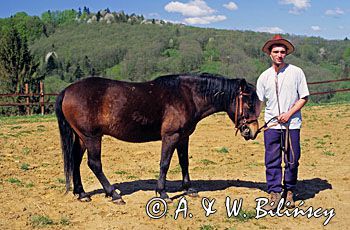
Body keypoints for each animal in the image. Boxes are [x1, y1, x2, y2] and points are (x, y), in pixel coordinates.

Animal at [55, 73, 260, 204]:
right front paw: (162, 192)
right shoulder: (171, 136)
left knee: (75, 161)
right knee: (94, 164)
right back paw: (114, 194)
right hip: (91, 137)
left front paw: (189, 189)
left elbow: (184, 162)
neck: (187, 95)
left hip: (82, 137)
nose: (252, 131)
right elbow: (165, 163)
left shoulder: (183, 137)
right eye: (249, 103)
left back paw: (81, 193)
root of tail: (67, 91)